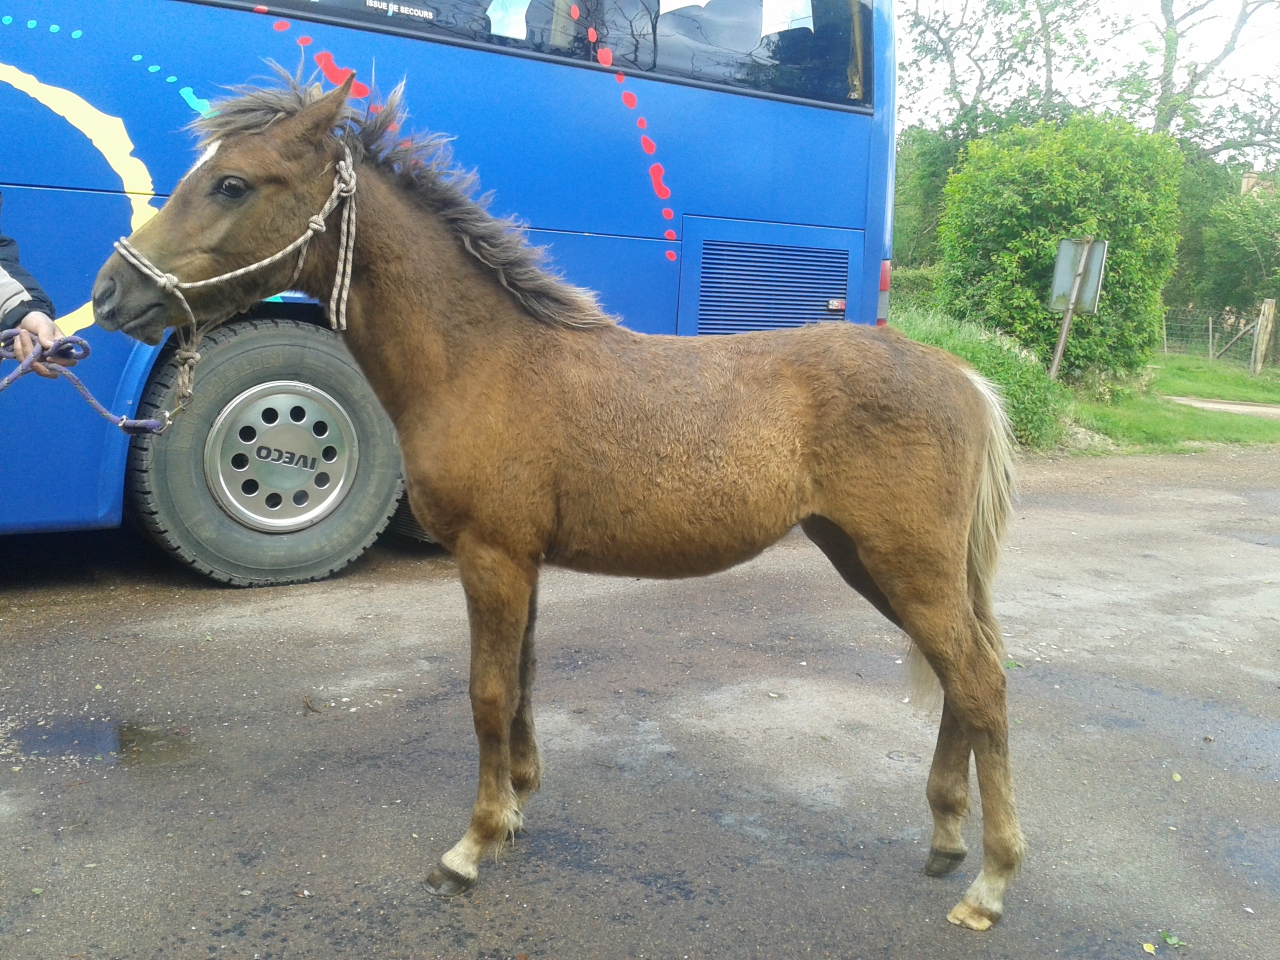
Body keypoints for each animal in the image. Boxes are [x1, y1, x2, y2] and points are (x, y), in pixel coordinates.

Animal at [91, 75, 1025, 931]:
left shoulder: (491, 554)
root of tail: (964, 376)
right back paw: (946, 840)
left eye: (232, 184)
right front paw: (516, 809)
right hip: (869, 558)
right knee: (962, 676)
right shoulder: (524, 560)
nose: (110, 294)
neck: (483, 361)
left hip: (904, 562)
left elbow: (486, 692)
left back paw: (990, 883)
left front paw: (470, 847)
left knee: (980, 681)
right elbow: (523, 683)